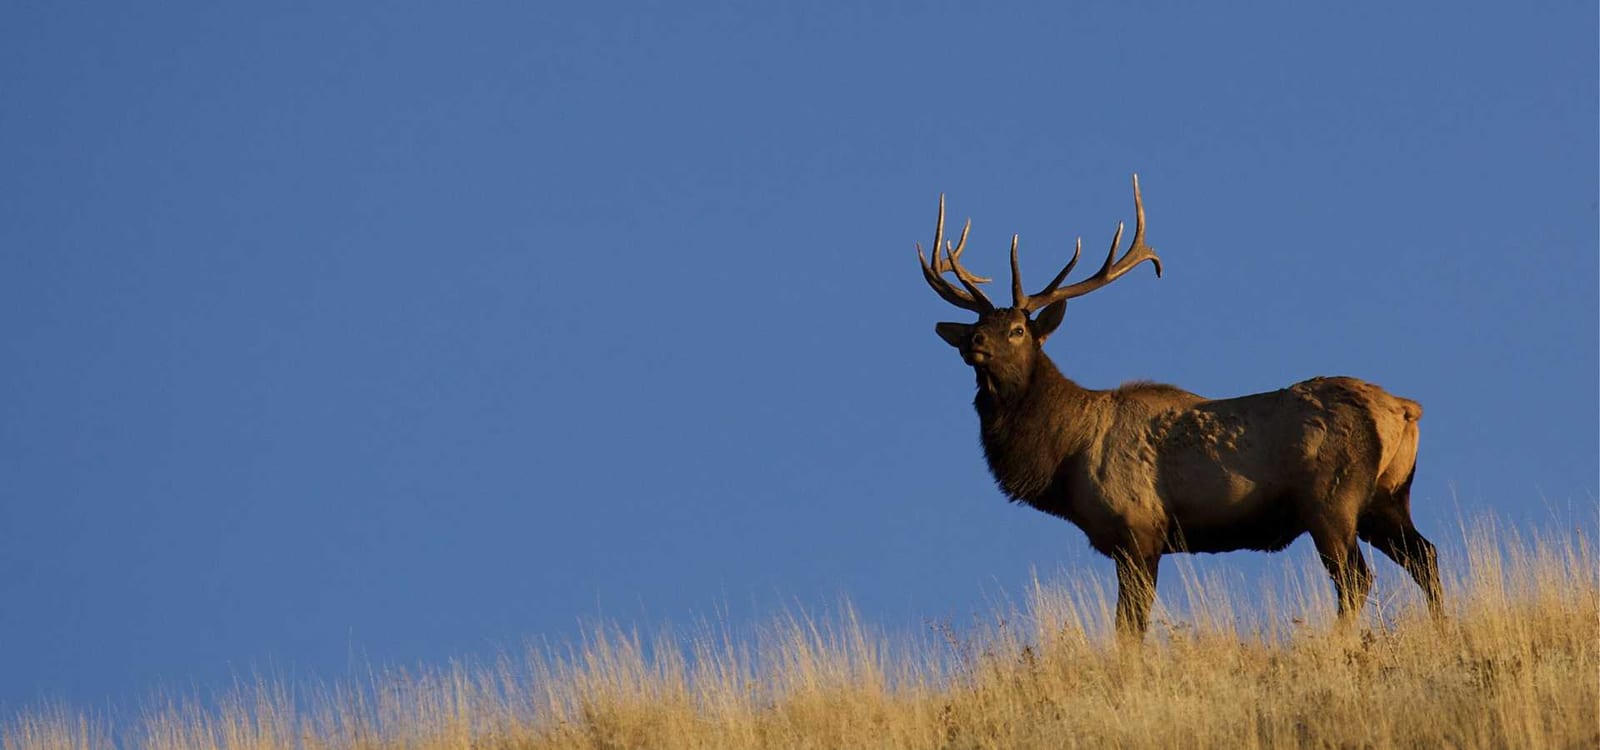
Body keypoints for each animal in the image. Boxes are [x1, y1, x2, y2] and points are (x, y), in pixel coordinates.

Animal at [917, 176, 1442, 638]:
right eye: (976, 326)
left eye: (1017, 330)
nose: (975, 343)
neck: (1065, 455)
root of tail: (1405, 410)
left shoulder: (1139, 527)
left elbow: (1130, 627)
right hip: (1387, 498)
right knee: (1426, 557)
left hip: (1331, 499)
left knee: (1356, 579)